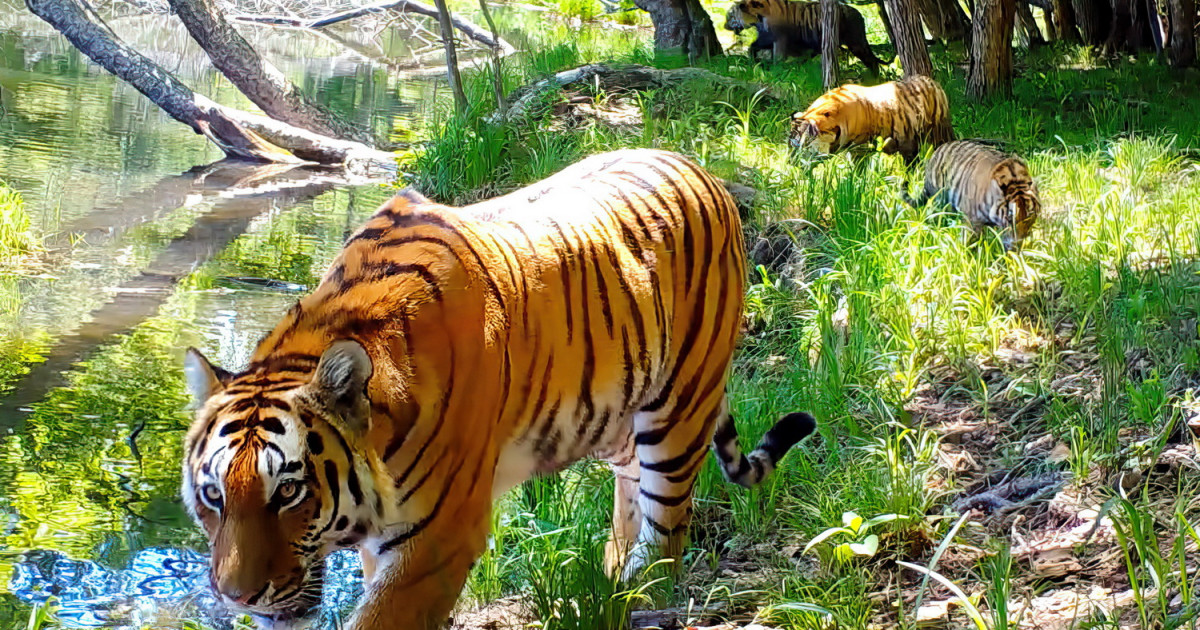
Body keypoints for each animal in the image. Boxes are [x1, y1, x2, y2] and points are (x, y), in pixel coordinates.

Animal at [180, 148, 816, 628]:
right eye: (213, 494)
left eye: (288, 492)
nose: (236, 597)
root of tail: (699, 168)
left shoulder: (437, 538)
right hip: (618, 420)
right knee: (631, 498)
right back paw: (609, 579)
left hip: (678, 410)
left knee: (668, 537)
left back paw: (635, 594)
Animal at [724, 0, 888, 72]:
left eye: (730, 16)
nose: (724, 26)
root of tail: (859, 14)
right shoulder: (766, 38)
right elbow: (753, 47)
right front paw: (756, 62)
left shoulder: (778, 39)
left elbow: (775, 56)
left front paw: (776, 70)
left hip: (856, 43)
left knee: (872, 61)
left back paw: (873, 80)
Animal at [787, 74, 955, 160]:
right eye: (790, 144)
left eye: (803, 143)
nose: (791, 161)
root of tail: (933, 82)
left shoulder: (859, 148)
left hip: (937, 131)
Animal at [907, 139, 1041, 250]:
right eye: (1009, 219)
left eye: (1029, 217)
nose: (1017, 242)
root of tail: (937, 150)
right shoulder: (972, 221)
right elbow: (969, 241)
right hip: (939, 201)